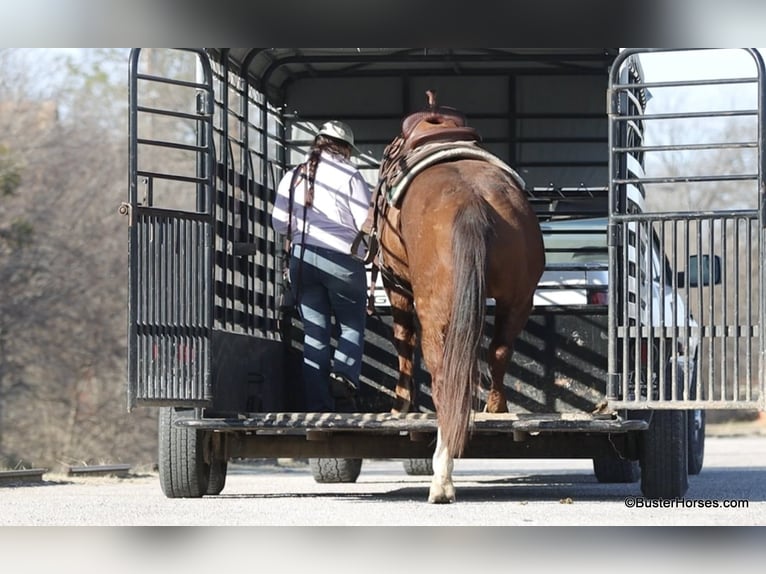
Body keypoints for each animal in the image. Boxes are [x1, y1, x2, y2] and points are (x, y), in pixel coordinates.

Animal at [372, 99, 544, 504]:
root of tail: (472, 202)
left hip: (436, 314)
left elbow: (403, 344)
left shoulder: (395, 284)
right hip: (519, 300)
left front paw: (400, 405)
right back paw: (497, 409)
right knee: (499, 352)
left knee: (443, 381)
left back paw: (442, 479)